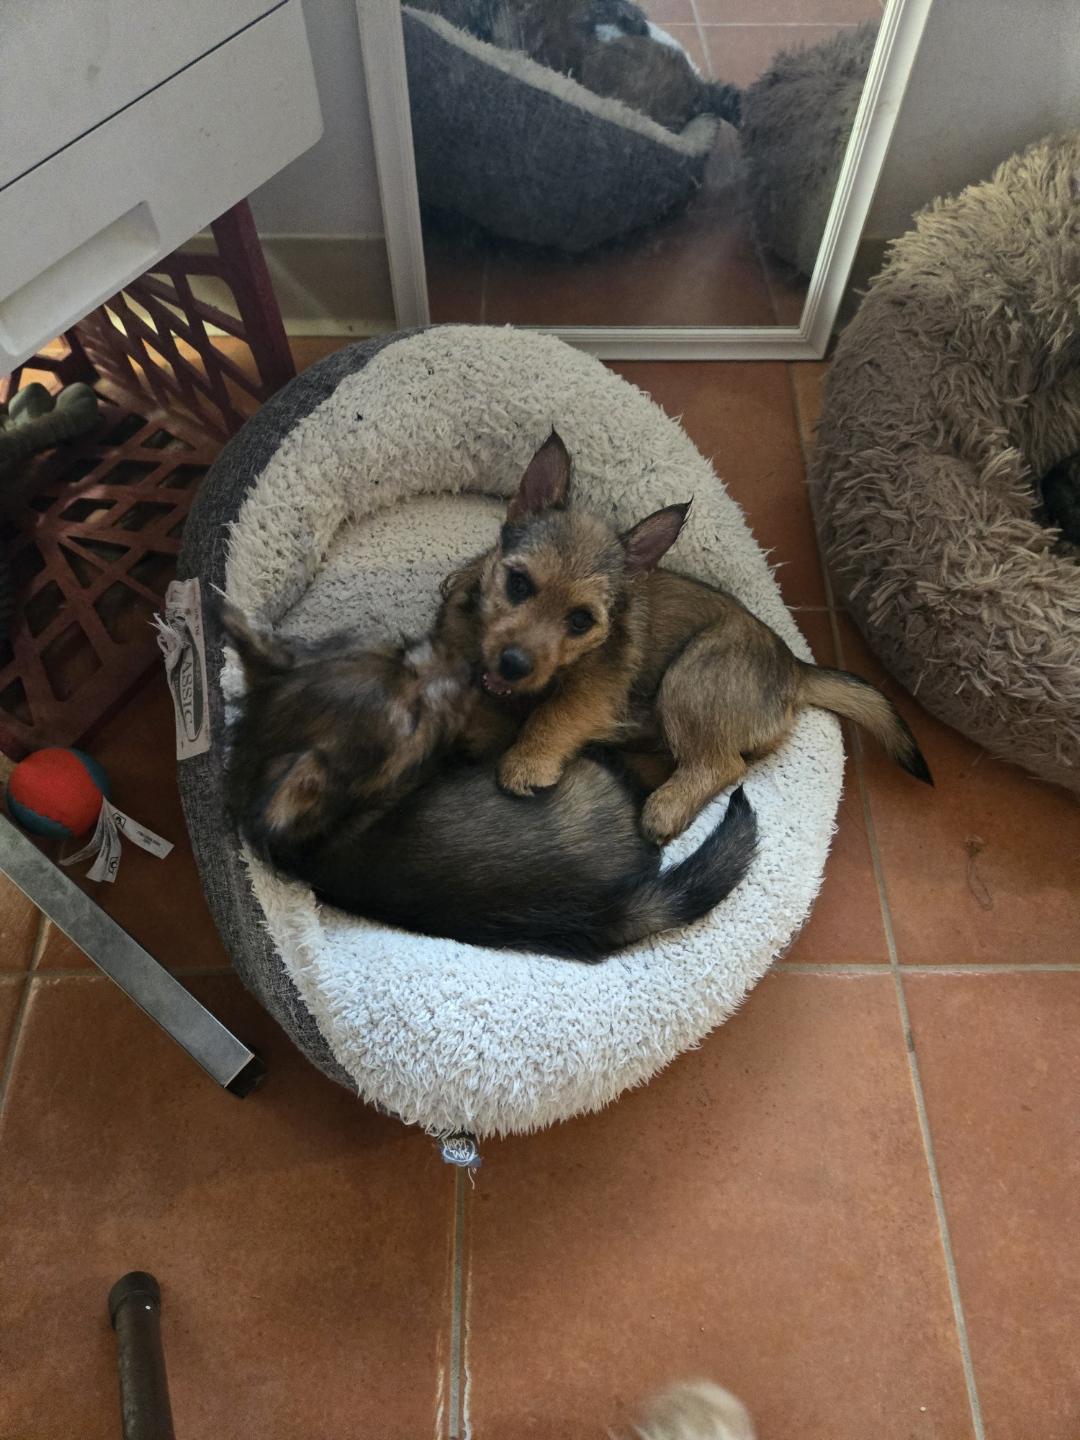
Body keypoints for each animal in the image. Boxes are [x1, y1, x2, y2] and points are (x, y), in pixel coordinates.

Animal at [438, 431, 932, 845]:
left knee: (720, 763)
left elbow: (553, 714)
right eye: (518, 584)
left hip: (691, 677)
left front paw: (527, 761)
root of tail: (795, 667)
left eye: (580, 621)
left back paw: (664, 809)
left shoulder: (592, 693)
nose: (512, 664)